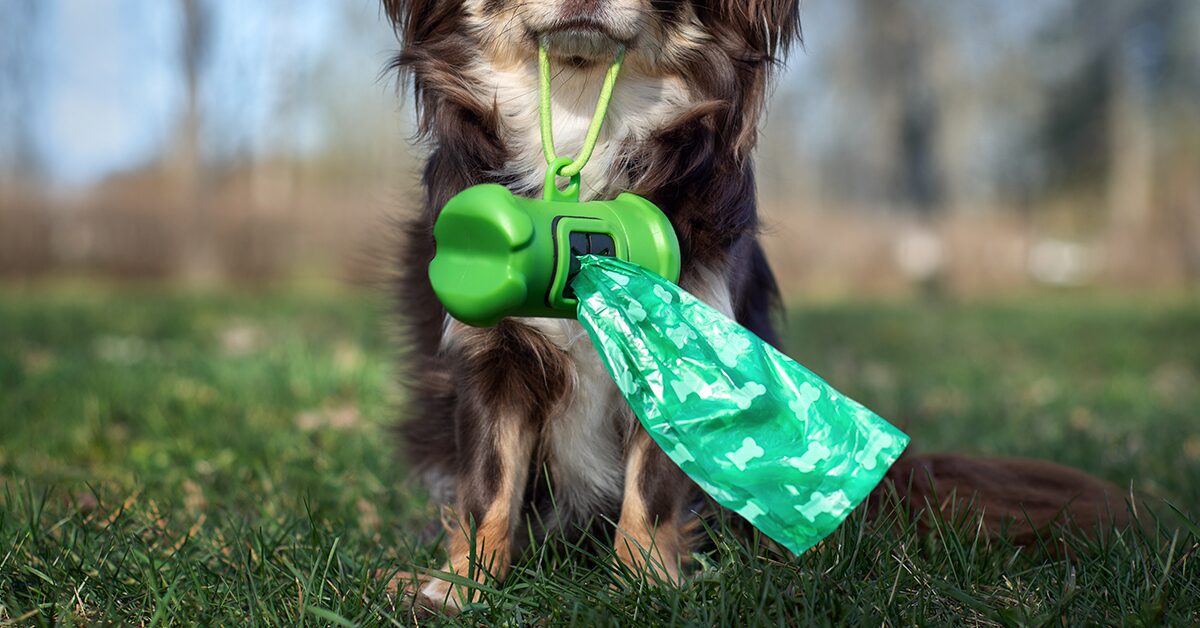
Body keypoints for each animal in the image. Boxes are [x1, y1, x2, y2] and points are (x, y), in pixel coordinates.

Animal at [379, 0, 1128, 612]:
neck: (578, 110)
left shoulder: (684, 346)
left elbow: (652, 490)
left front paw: (642, 586)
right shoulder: (494, 359)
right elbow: (489, 488)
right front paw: (462, 587)